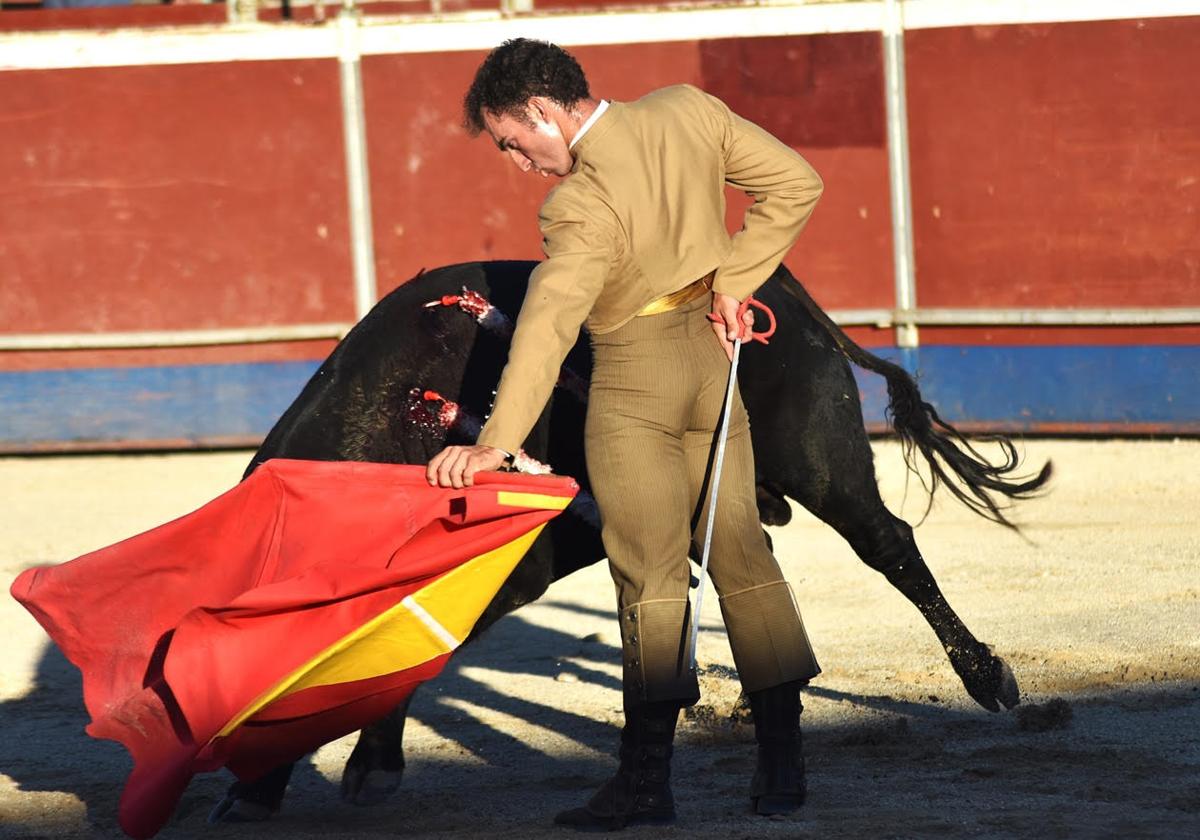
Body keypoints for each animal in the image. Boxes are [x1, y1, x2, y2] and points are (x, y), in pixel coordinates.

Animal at [234, 259, 1051, 811]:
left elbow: (404, 654)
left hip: (821, 460)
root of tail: (778, 289)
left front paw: (366, 766)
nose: (243, 781)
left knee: (888, 545)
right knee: (750, 562)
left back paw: (986, 678)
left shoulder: (513, 571)